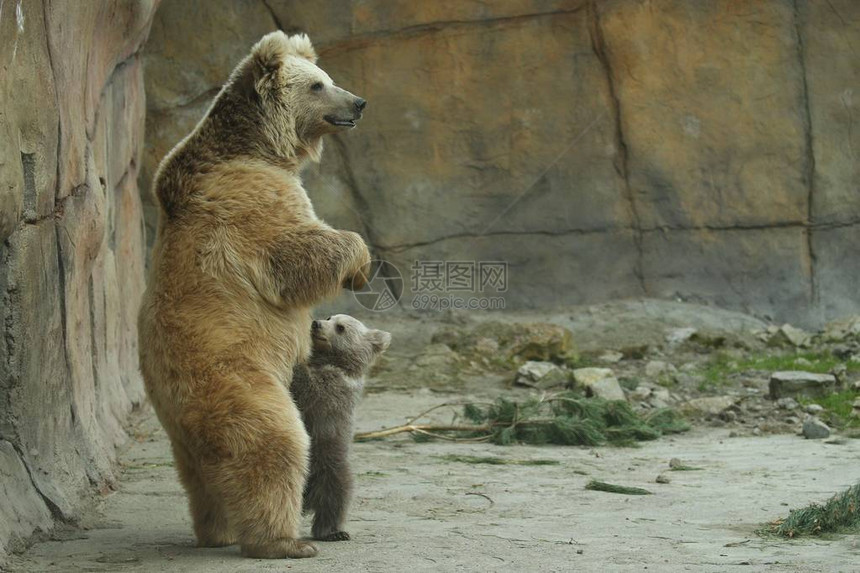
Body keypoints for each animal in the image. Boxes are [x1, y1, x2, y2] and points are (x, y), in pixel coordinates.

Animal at [137, 32, 370, 560]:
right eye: (319, 84)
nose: (358, 102)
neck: (259, 145)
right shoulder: (250, 198)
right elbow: (294, 251)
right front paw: (360, 263)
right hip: (239, 381)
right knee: (274, 445)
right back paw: (283, 541)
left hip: (183, 432)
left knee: (202, 479)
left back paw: (216, 530)